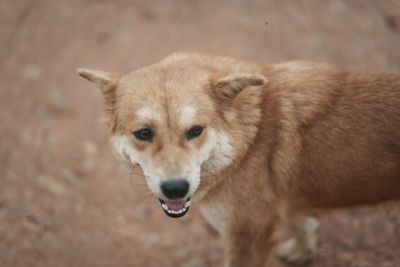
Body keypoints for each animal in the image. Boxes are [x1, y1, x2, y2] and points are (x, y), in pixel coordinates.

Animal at [78, 52, 400, 267]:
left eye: (196, 130)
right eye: (143, 133)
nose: (176, 189)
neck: (249, 139)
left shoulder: (247, 235)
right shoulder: (286, 203)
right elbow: (304, 226)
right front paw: (303, 252)